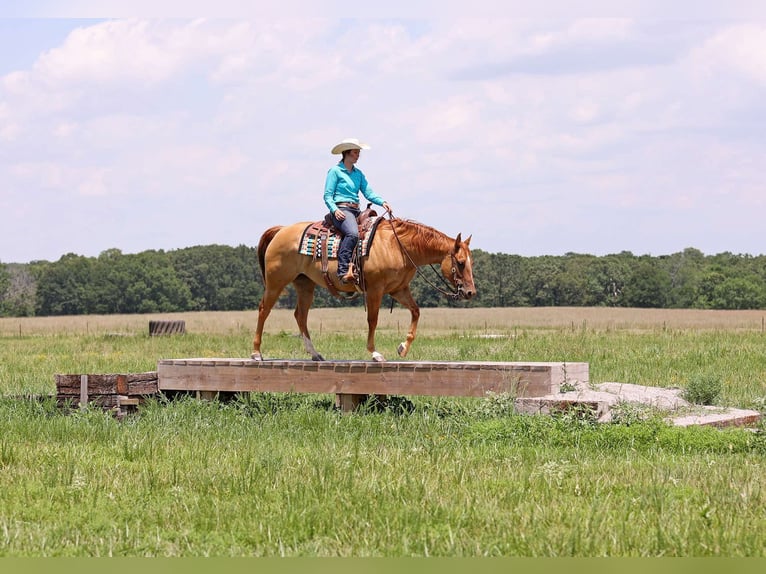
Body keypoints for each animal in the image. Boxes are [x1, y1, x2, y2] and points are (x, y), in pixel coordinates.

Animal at [251, 216, 476, 362]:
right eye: (461, 263)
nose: (470, 293)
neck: (398, 247)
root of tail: (281, 230)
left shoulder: (399, 289)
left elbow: (416, 311)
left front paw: (403, 348)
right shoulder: (375, 289)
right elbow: (373, 320)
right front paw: (375, 353)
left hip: (305, 285)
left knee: (300, 315)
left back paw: (315, 354)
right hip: (276, 282)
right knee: (264, 310)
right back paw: (256, 353)